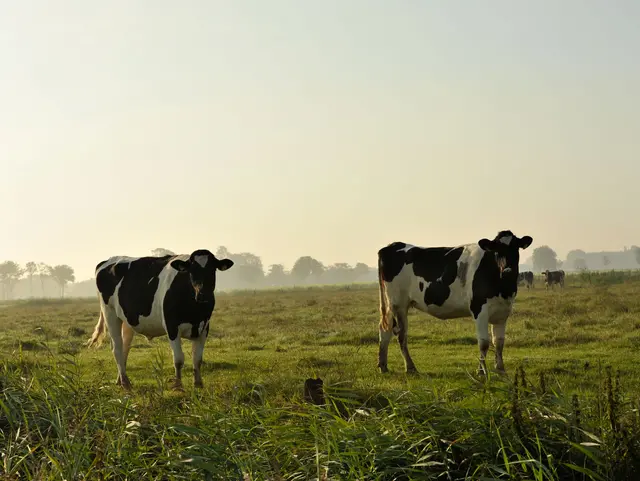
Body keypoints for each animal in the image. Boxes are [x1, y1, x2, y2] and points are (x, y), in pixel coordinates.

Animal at [86, 249, 232, 388]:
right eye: (192, 270)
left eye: (212, 269)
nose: (203, 294)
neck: (195, 310)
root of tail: (107, 260)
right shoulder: (171, 326)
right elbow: (178, 359)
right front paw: (178, 386)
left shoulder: (204, 327)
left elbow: (197, 359)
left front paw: (198, 384)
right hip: (110, 313)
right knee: (116, 348)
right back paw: (125, 383)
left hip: (128, 319)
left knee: (124, 347)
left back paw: (120, 380)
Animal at [378, 230, 532, 376]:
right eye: (496, 250)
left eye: (515, 248)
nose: (507, 270)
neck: (502, 287)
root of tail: (392, 245)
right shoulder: (479, 310)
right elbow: (484, 343)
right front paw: (481, 371)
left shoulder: (503, 312)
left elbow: (499, 342)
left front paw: (500, 369)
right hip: (398, 304)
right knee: (401, 334)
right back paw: (410, 367)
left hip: (392, 306)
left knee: (385, 329)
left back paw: (383, 366)